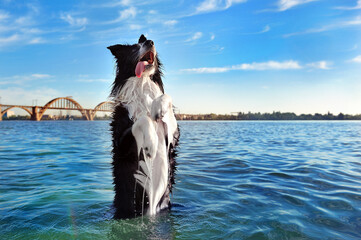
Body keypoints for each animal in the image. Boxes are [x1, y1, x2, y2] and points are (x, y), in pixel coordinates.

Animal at [107, 34, 179, 219]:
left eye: (144, 43)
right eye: (134, 48)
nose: (150, 42)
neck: (142, 84)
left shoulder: (172, 136)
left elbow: (166, 97)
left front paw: (159, 106)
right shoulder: (121, 143)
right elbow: (143, 120)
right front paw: (150, 144)